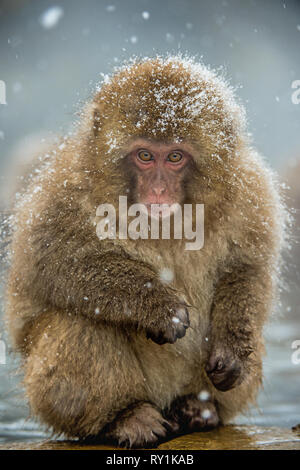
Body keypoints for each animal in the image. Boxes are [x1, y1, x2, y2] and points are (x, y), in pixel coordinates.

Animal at [4, 57, 286, 446]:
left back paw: (200, 409)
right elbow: (52, 262)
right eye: (145, 156)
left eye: (175, 156)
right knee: (78, 319)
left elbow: (248, 268)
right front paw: (159, 307)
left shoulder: (251, 190)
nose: (158, 191)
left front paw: (231, 349)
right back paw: (124, 416)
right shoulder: (66, 186)